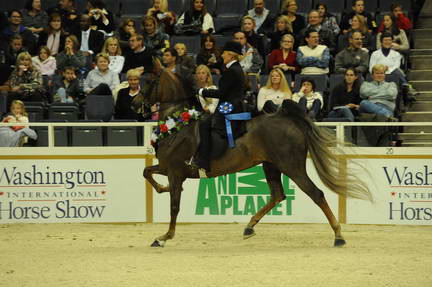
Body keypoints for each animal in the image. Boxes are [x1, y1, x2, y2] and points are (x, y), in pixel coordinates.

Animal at [143, 67, 372, 248]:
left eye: (151, 80)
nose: (141, 103)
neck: (177, 125)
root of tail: (289, 119)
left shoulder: (175, 172)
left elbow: (174, 206)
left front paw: (164, 237)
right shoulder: (166, 167)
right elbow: (146, 172)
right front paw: (162, 188)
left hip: (292, 167)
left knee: (316, 194)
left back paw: (338, 236)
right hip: (271, 165)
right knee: (278, 195)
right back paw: (249, 226)